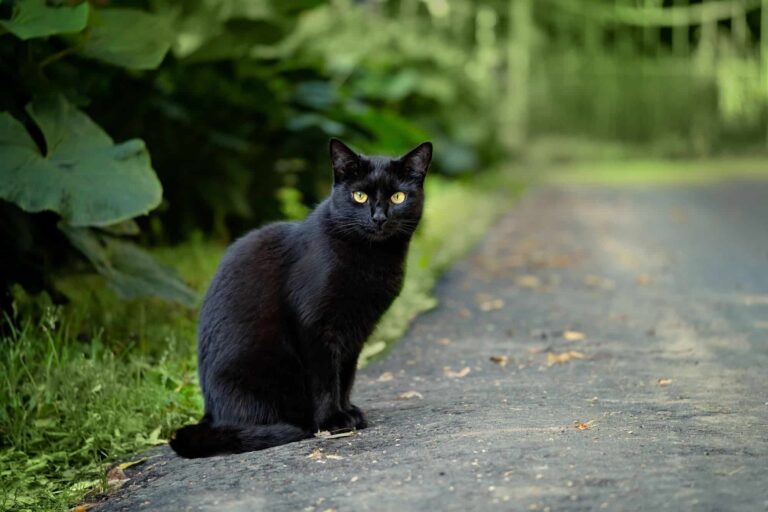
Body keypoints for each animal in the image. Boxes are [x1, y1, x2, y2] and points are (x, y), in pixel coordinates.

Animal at [170, 139, 432, 456]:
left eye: (397, 197)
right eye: (359, 196)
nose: (379, 217)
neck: (372, 259)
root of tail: (210, 414)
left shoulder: (355, 331)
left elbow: (345, 375)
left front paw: (347, 411)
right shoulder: (314, 325)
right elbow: (325, 379)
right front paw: (333, 421)